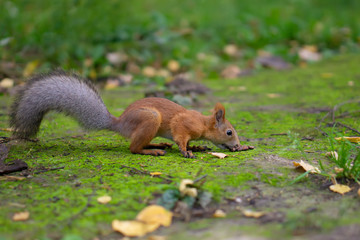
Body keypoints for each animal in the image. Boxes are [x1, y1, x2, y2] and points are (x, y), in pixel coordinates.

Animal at [10, 70, 253, 158]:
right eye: (229, 132)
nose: (238, 145)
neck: (202, 123)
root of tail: (119, 123)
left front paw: (198, 146)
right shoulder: (182, 124)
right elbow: (181, 138)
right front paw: (187, 150)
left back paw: (158, 145)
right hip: (150, 120)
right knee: (133, 148)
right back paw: (152, 151)